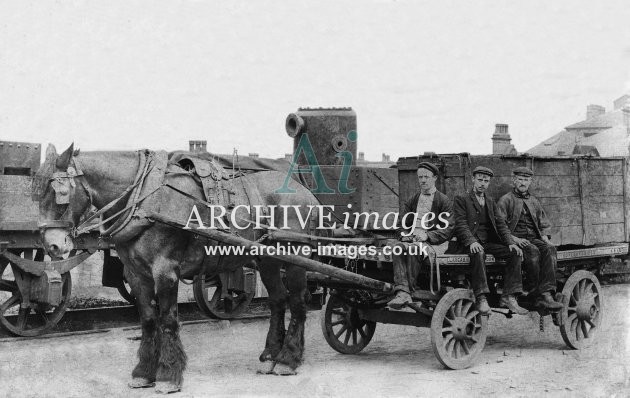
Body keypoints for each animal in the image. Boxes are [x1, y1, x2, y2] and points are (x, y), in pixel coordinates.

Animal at [35, 143, 320, 392]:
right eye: (35, 194)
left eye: (60, 194)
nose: (53, 246)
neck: (147, 199)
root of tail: (306, 192)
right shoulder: (136, 275)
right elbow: (149, 320)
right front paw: (143, 373)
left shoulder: (165, 271)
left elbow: (168, 320)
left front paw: (168, 375)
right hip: (268, 259)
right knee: (278, 300)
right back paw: (271, 354)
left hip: (296, 256)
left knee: (297, 303)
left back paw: (287, 359)